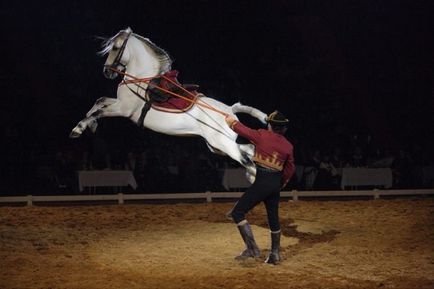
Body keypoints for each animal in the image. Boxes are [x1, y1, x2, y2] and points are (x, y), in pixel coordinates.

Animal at [69, 27, 266, 180]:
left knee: (247, 161)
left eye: (116, 47)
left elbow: (99, 111)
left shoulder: (124, 109)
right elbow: (99, 102)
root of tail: (230, 110)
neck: (141, 79)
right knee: (249, 150)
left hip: (222, 143)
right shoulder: (119, 102)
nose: (107, 72)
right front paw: (90, 125)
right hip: (216, 146)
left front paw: (77, 129)